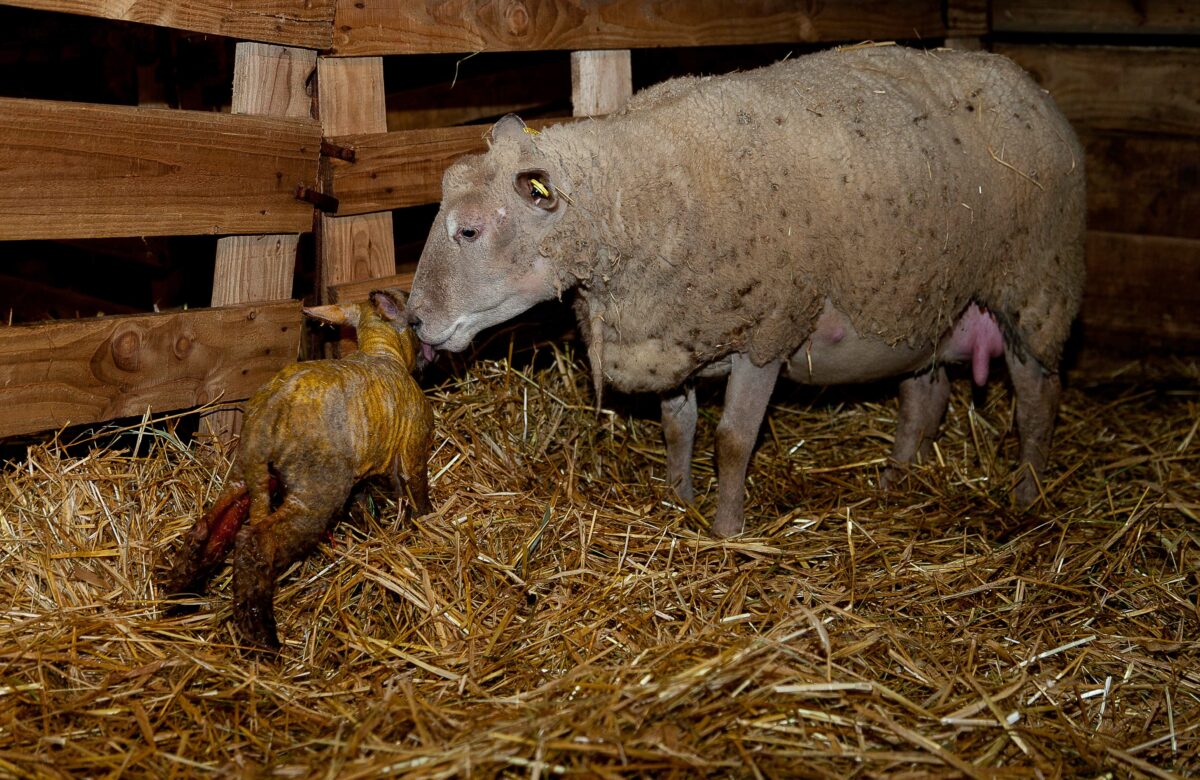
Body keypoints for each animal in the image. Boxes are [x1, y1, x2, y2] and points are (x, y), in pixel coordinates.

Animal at [408, 45, 1084, 537]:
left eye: (469, 229)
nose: (413, 321)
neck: (644, 195)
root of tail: (1035, 90)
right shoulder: (670, 337)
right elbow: (677, 429)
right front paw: (677, 502)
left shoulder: (767, 334)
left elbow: (733, 442)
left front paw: (725, 530)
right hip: (925, 305)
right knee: (926, 397)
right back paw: (896, 481)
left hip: (1034, 290)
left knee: (1036, 403)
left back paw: (1027, 496)